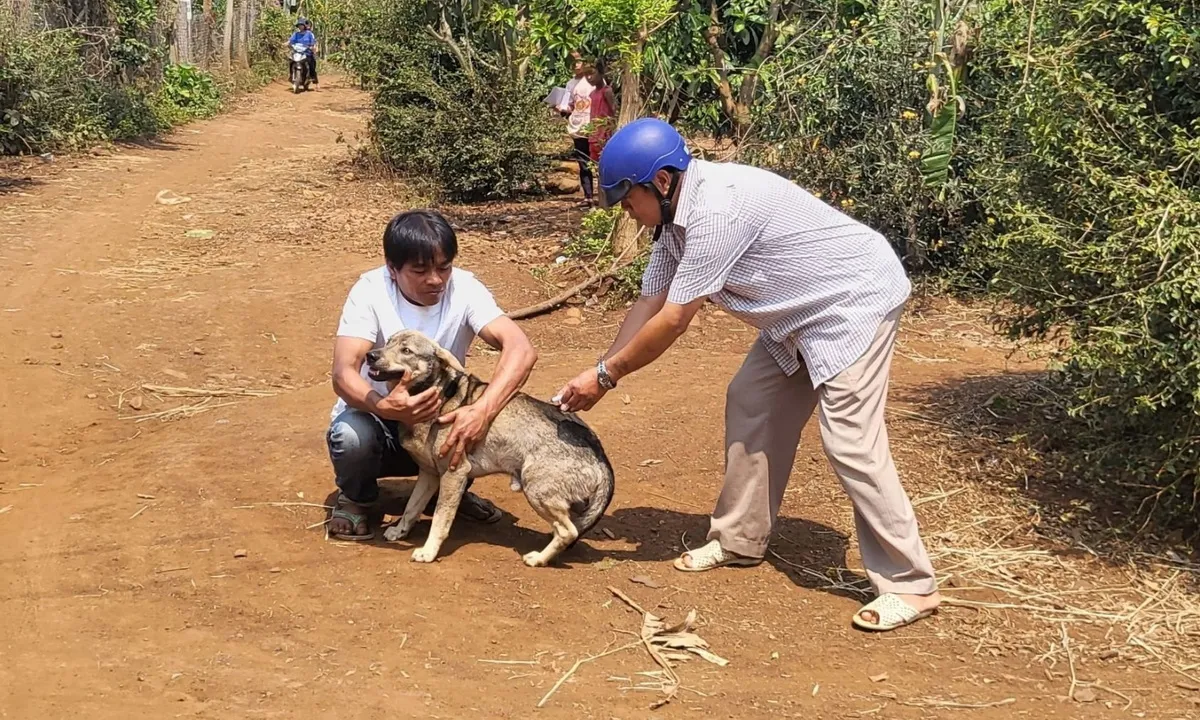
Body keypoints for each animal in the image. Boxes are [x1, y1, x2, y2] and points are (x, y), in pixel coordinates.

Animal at [364, 328, 614, 568]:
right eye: (388, 341)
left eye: (406, 350)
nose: (371, 355)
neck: (439, 396)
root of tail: (600, 455)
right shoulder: (429, 474)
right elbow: (411, 508)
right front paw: (400, 531)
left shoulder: (454, 473)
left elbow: (440, 520)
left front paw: (429, 551)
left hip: (535, 489)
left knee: (568, 531)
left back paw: (539, 559)